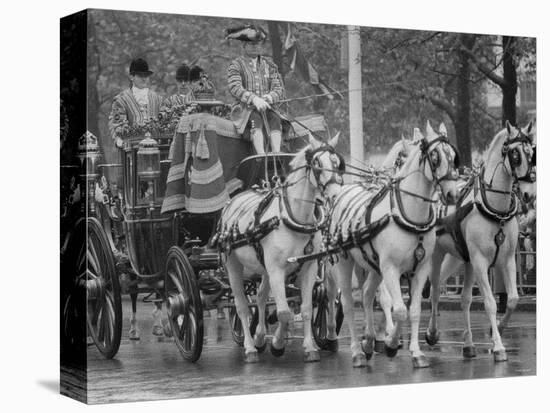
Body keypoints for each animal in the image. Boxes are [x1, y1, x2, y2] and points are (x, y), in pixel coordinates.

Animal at [217, 134, 342, 362]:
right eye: (317, 164)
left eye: (336, 163)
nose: (336, 193)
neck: (292, 218)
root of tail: (233, 200)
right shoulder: (277, 269)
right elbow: (283, 312)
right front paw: (277, 344)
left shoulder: (308, 267)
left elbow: (306, 307)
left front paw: (309, 347)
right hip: (233, 265)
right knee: (241, 306)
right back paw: (250, 347)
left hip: (265, 268)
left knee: (260, 296)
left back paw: (259, 338)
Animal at [328, 120, 462, 366]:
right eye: (435, 157)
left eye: (452, 156)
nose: (452, 194)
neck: (409, 213)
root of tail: (343, 190)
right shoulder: (390, 268)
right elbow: (398, 308)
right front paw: (391, 343)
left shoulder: (420, 268)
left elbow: (415, 309)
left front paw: (416, 352)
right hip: (344, 262)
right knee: (349, 305)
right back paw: (357, 351)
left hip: (373, 265)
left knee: (367, 294)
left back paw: (369, 340)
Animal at [426, 120, 536, 358]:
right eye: (515, 154)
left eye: (531, 153)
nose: (529, 195)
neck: (495, 208)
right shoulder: (480, 261)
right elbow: (490, 303)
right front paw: (498, 346)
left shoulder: (507, 260)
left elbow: (512, 299)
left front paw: (499, 329)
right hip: (439, 255)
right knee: (434, 290)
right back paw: (431, 333)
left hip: (461, 259)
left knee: (464, 299)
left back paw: (468, 344)